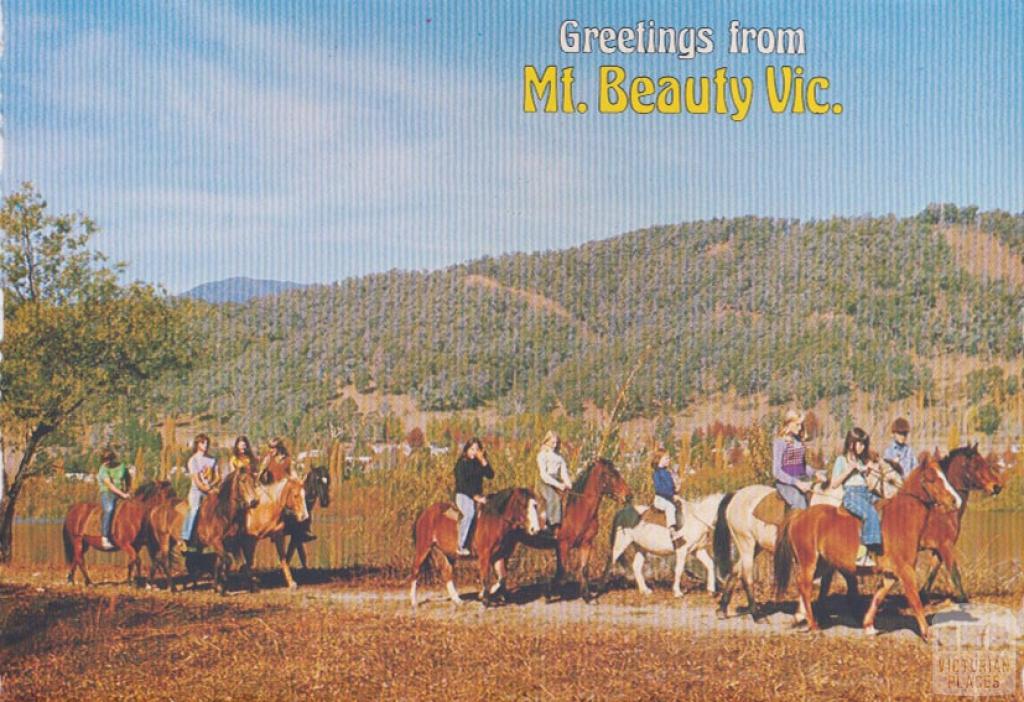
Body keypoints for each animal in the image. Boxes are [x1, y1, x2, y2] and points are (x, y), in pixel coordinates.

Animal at [407, 489, 544, 609]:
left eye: (535, 505)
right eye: (523, 504)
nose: (535, 529)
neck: (494, 520)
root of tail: (424, 514)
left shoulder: (499, 556)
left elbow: (502, 576)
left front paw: (488, 594)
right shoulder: (485, 555)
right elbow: (485, 576)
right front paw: (484, 599)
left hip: (447, 553)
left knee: (447, 572)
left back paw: (458, 600)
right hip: (423, 547)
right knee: (415, 570)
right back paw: (414, 602)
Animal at [507, 456, 626, 605]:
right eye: (610, 474)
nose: (628, 495)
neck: (578, 510)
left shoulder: (586, 544)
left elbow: (583, 569)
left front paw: (587, 597)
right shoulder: (563, 546)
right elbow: (561, 571)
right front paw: (548, 595)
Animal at [598, 495, 729, 597]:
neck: (696, 520)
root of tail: (621, 512)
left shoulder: (698, 550)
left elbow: (710, 564)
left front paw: (711, 591)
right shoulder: (682, 550)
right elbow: (679, 569)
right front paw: (677, 592)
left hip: (641, 548)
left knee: (636, 566)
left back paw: (644, 590)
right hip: (620, 544)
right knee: (610, 561)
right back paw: (601, 588)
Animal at [770, 456, 962, 642]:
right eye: (931, 478)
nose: (956, 501)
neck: (901, 519)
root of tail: (799, 515)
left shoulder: (890, 574)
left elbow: (878, 596)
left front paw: (869, 626)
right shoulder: (906, 570)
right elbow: (915, 600)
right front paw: (927, 634)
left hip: (823, 563)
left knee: (805, 584)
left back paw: (804, 619)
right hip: (809, 560)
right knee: (805, 585)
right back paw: (813, 626)